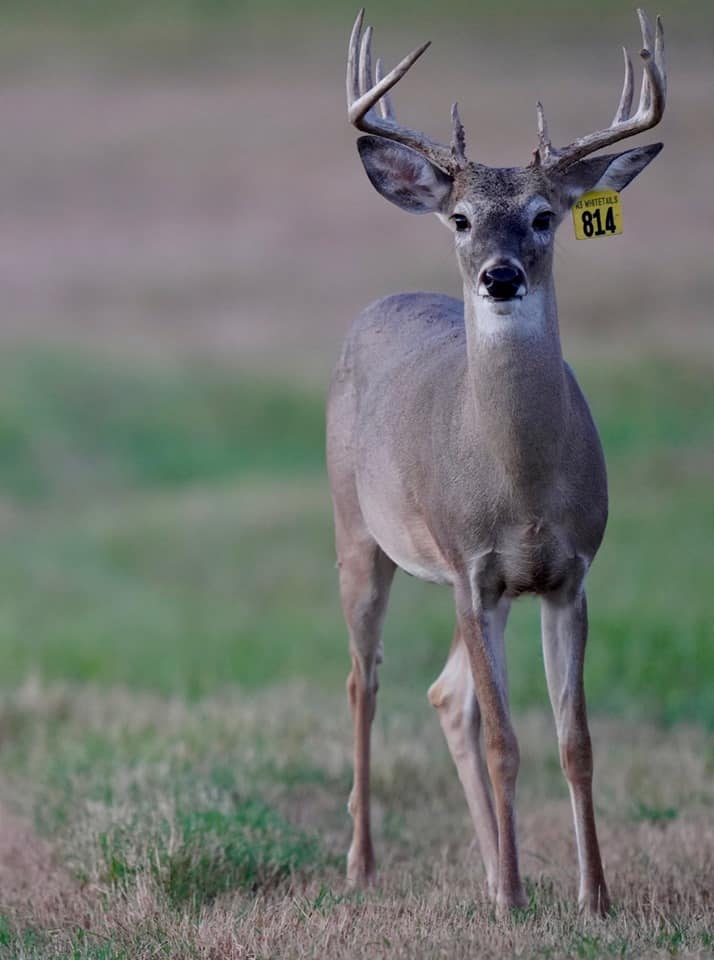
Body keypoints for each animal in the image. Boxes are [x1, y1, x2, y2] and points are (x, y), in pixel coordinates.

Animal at [326, 8, 666, 916]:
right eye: (461, 218)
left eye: (547, 215)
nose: (501, 275)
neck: (524, 491)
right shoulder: (471, 566)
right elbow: (509, 741)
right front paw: (517, 901)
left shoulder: (565, 574)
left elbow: (574, 740)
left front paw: (593, 897)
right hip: (358, 534)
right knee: (364, 680)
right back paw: (364, 865)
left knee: (448, 696)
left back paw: (486, 869)